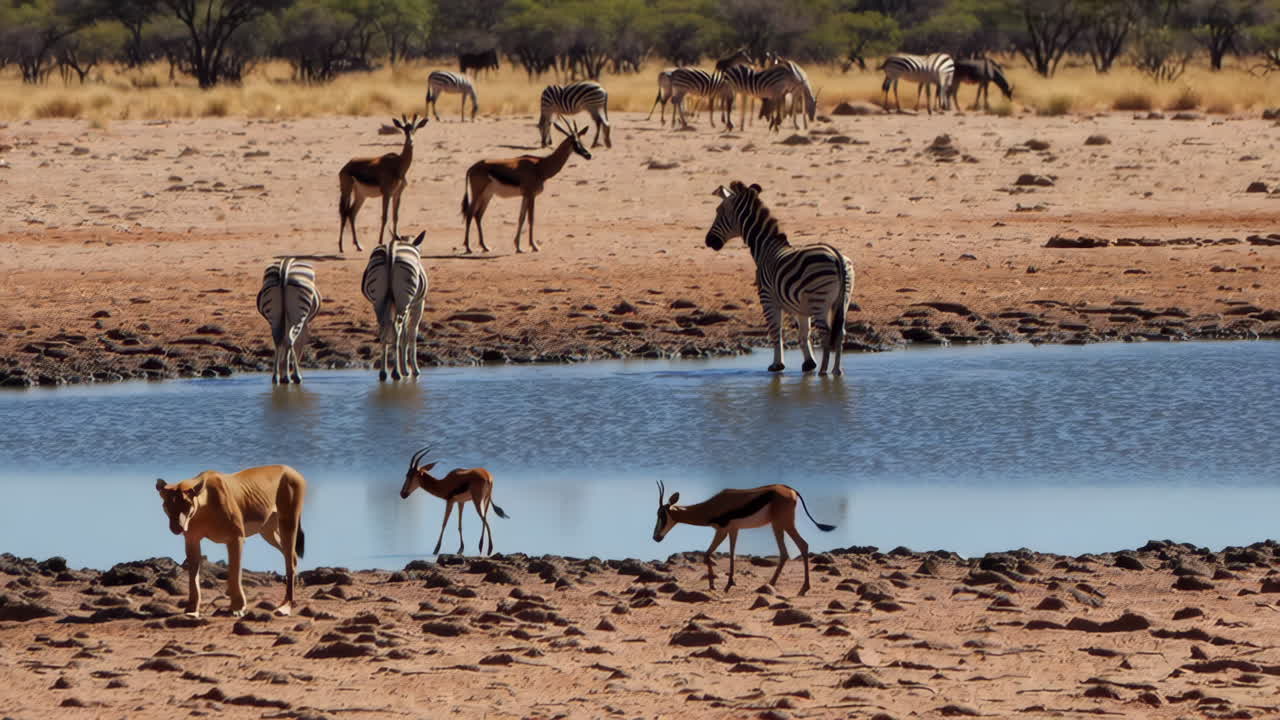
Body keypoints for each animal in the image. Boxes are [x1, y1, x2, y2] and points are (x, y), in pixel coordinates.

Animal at [361, 231, 428, 382]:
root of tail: (391, 251)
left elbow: (402, 334)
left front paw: (405, 369)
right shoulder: (417, 304)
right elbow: (410, 334)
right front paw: (412, 370)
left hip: (379, 301)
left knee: (383, 330)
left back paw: (383, 373)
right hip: (404, 302)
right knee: (397, 330)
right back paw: (396, 373)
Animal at [705, 181, 854, 376]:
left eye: (718, 212)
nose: (708, 241)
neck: (765, 248)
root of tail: (836, 255)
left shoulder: (767, 299)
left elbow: (776, 331)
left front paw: (777, 365)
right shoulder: (801, 307)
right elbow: (803, 334)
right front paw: (808, 364)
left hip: (819, 299)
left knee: (826, 333)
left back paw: (823, 371)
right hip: (842, 301)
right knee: (840, 332)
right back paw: (836, 370)